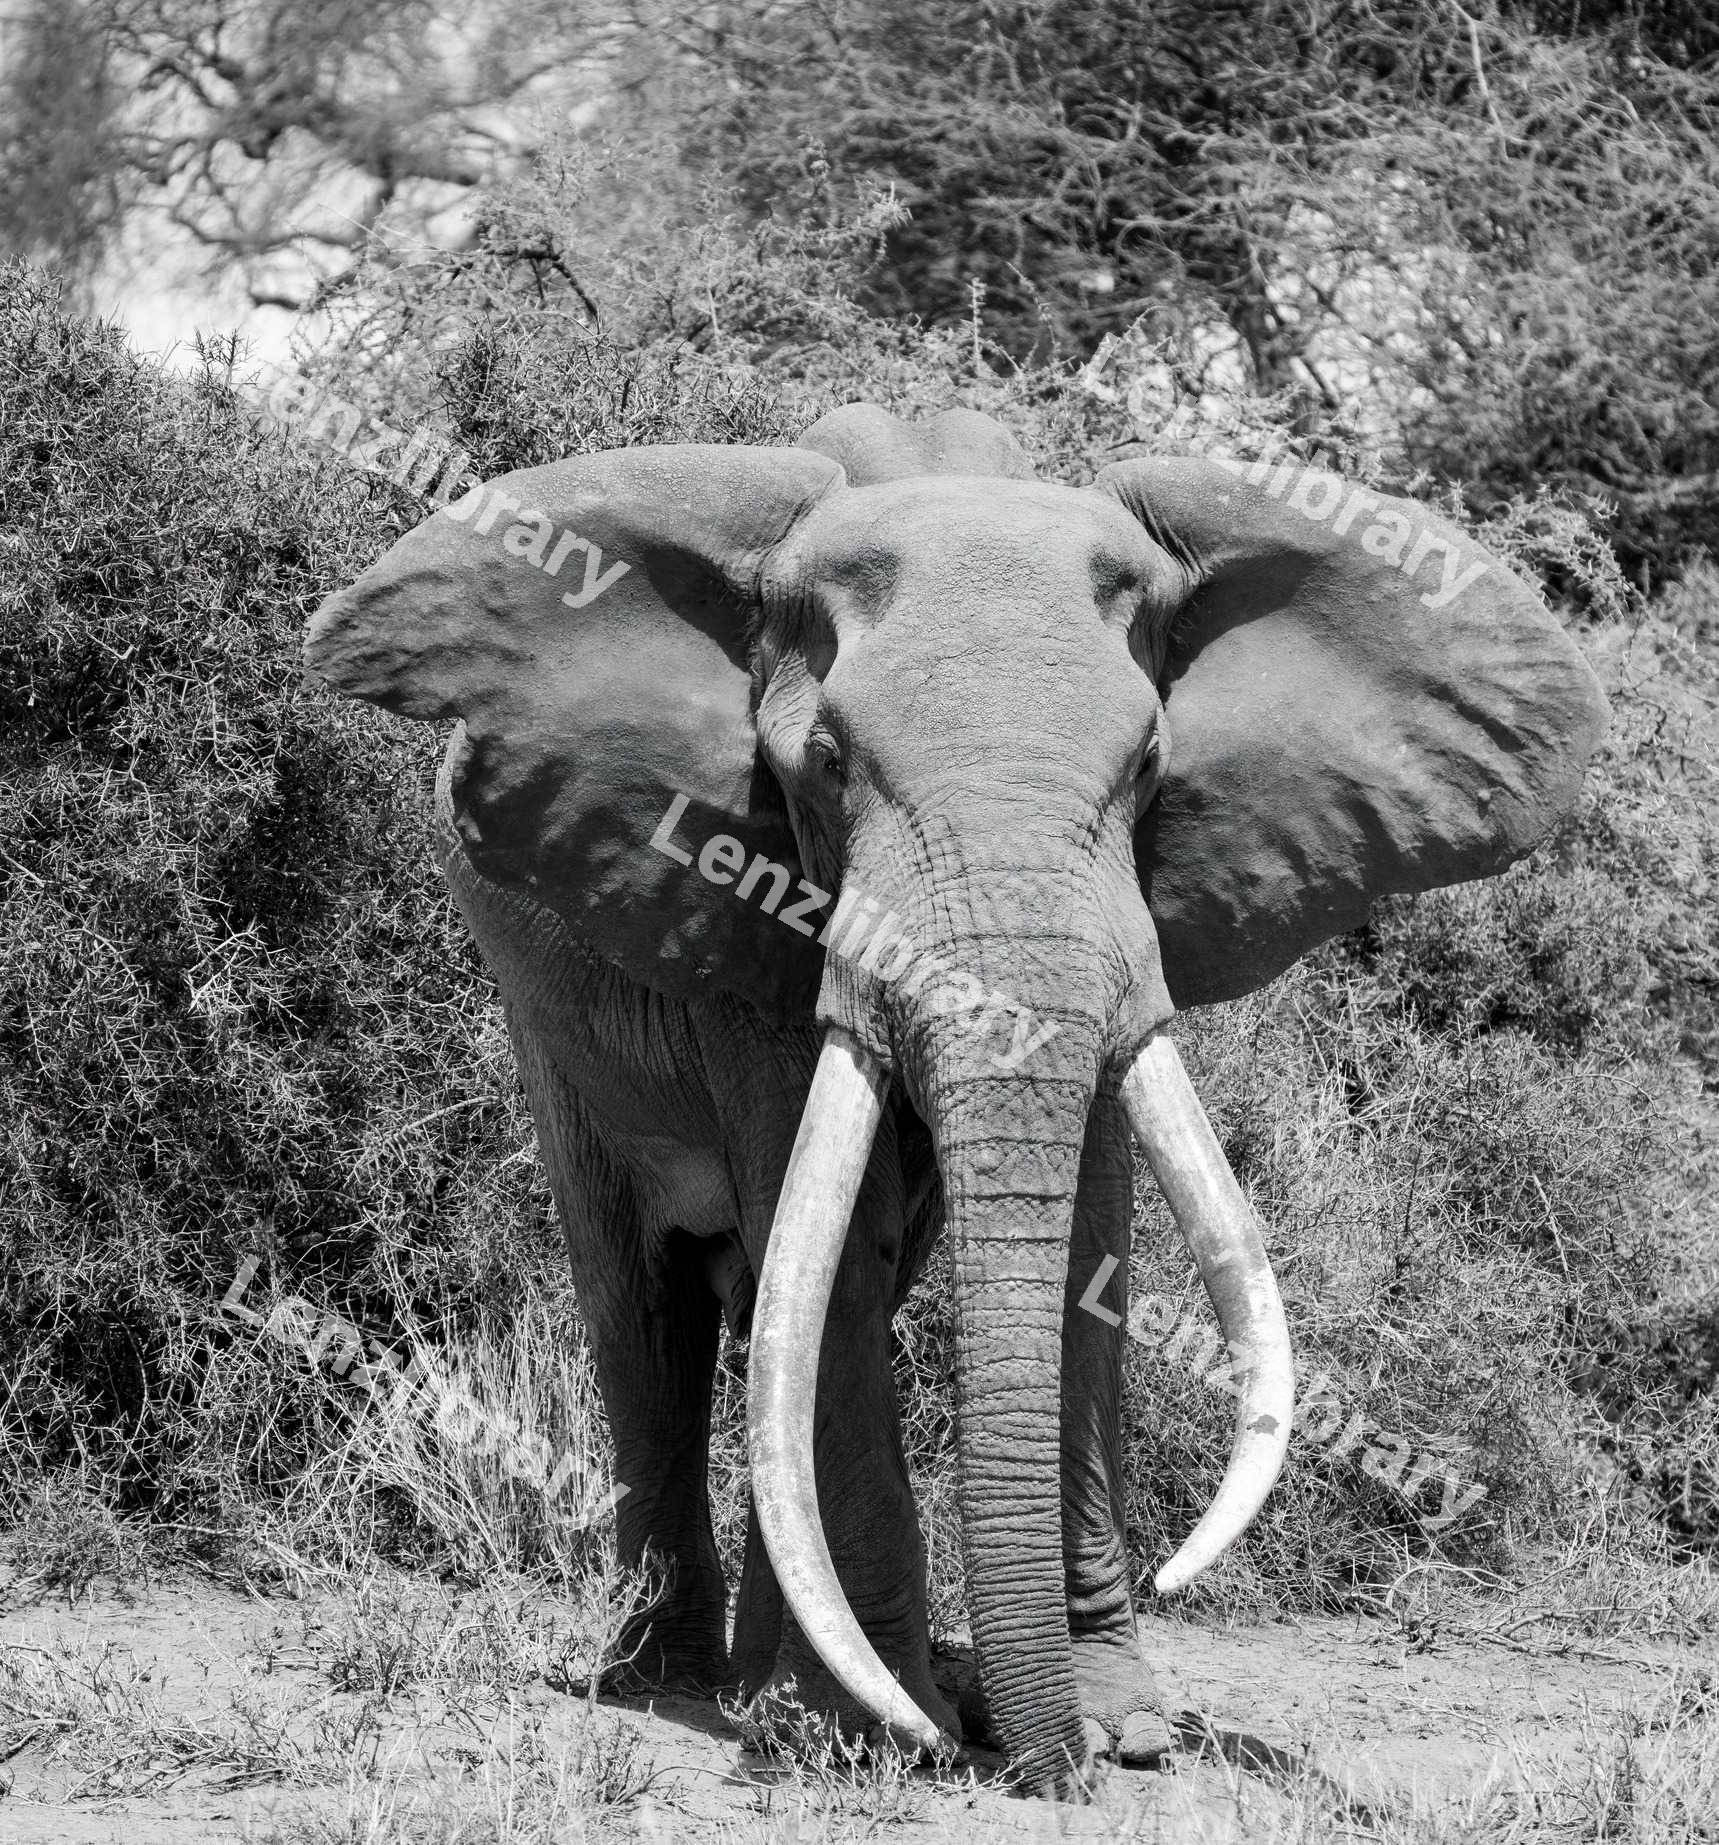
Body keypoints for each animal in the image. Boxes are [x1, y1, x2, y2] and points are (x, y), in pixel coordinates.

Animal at [303, 402, 1607, 1798]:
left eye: (1151, 763)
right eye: (824, 764)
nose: (1050, 1771)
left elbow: (1087, 1247)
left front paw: (1116, 1735)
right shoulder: (749, 916)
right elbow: (835, 1249)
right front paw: (882, 1737)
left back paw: (775, 1688)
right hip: (545, 1016)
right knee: (652, 1302)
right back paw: (677, 1684)